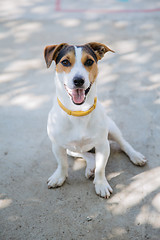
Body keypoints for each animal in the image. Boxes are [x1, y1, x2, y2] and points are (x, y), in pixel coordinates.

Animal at [43, 42, 146, 198]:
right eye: (65, 62)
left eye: (89, 62)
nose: (78, 80)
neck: (79, 112)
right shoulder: (57, 145)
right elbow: (62, 164)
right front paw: (59, 176)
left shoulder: (103, 145)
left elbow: (101, 169)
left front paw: (101, 184)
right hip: (71, 149)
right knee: (87, 155)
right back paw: (90, 166)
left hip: (112, 129)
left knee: (123, 143)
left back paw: (135, 156)